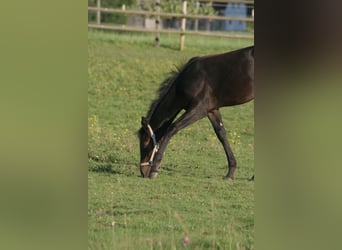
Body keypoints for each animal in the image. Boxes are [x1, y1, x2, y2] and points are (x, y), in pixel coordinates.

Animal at [138, 46, 254, 179]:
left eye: (145, 141)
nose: (143, 172)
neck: (190, 79)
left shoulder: (199, 110)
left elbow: (172, 128)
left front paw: (154, 170)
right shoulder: (211, 110)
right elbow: (222, 135)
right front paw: (230, 172)